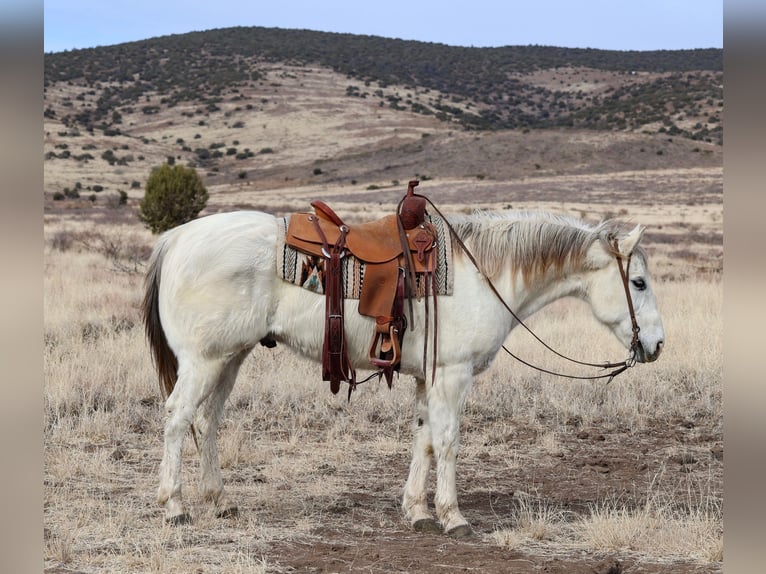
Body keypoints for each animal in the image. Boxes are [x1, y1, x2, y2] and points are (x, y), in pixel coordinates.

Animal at [144, 208, 664, 540]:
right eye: (637, 282)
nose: (656, 344)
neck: (484, 274)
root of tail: (175, 239)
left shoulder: (425, 378)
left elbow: (424, 440)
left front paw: (416, 511)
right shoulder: (452, 376)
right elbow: (448, 441)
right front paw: (453, 517)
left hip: (230, 358)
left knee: (207, 421)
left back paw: (218, 500)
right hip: (204, 360)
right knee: (176, 418)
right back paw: (173, 506)